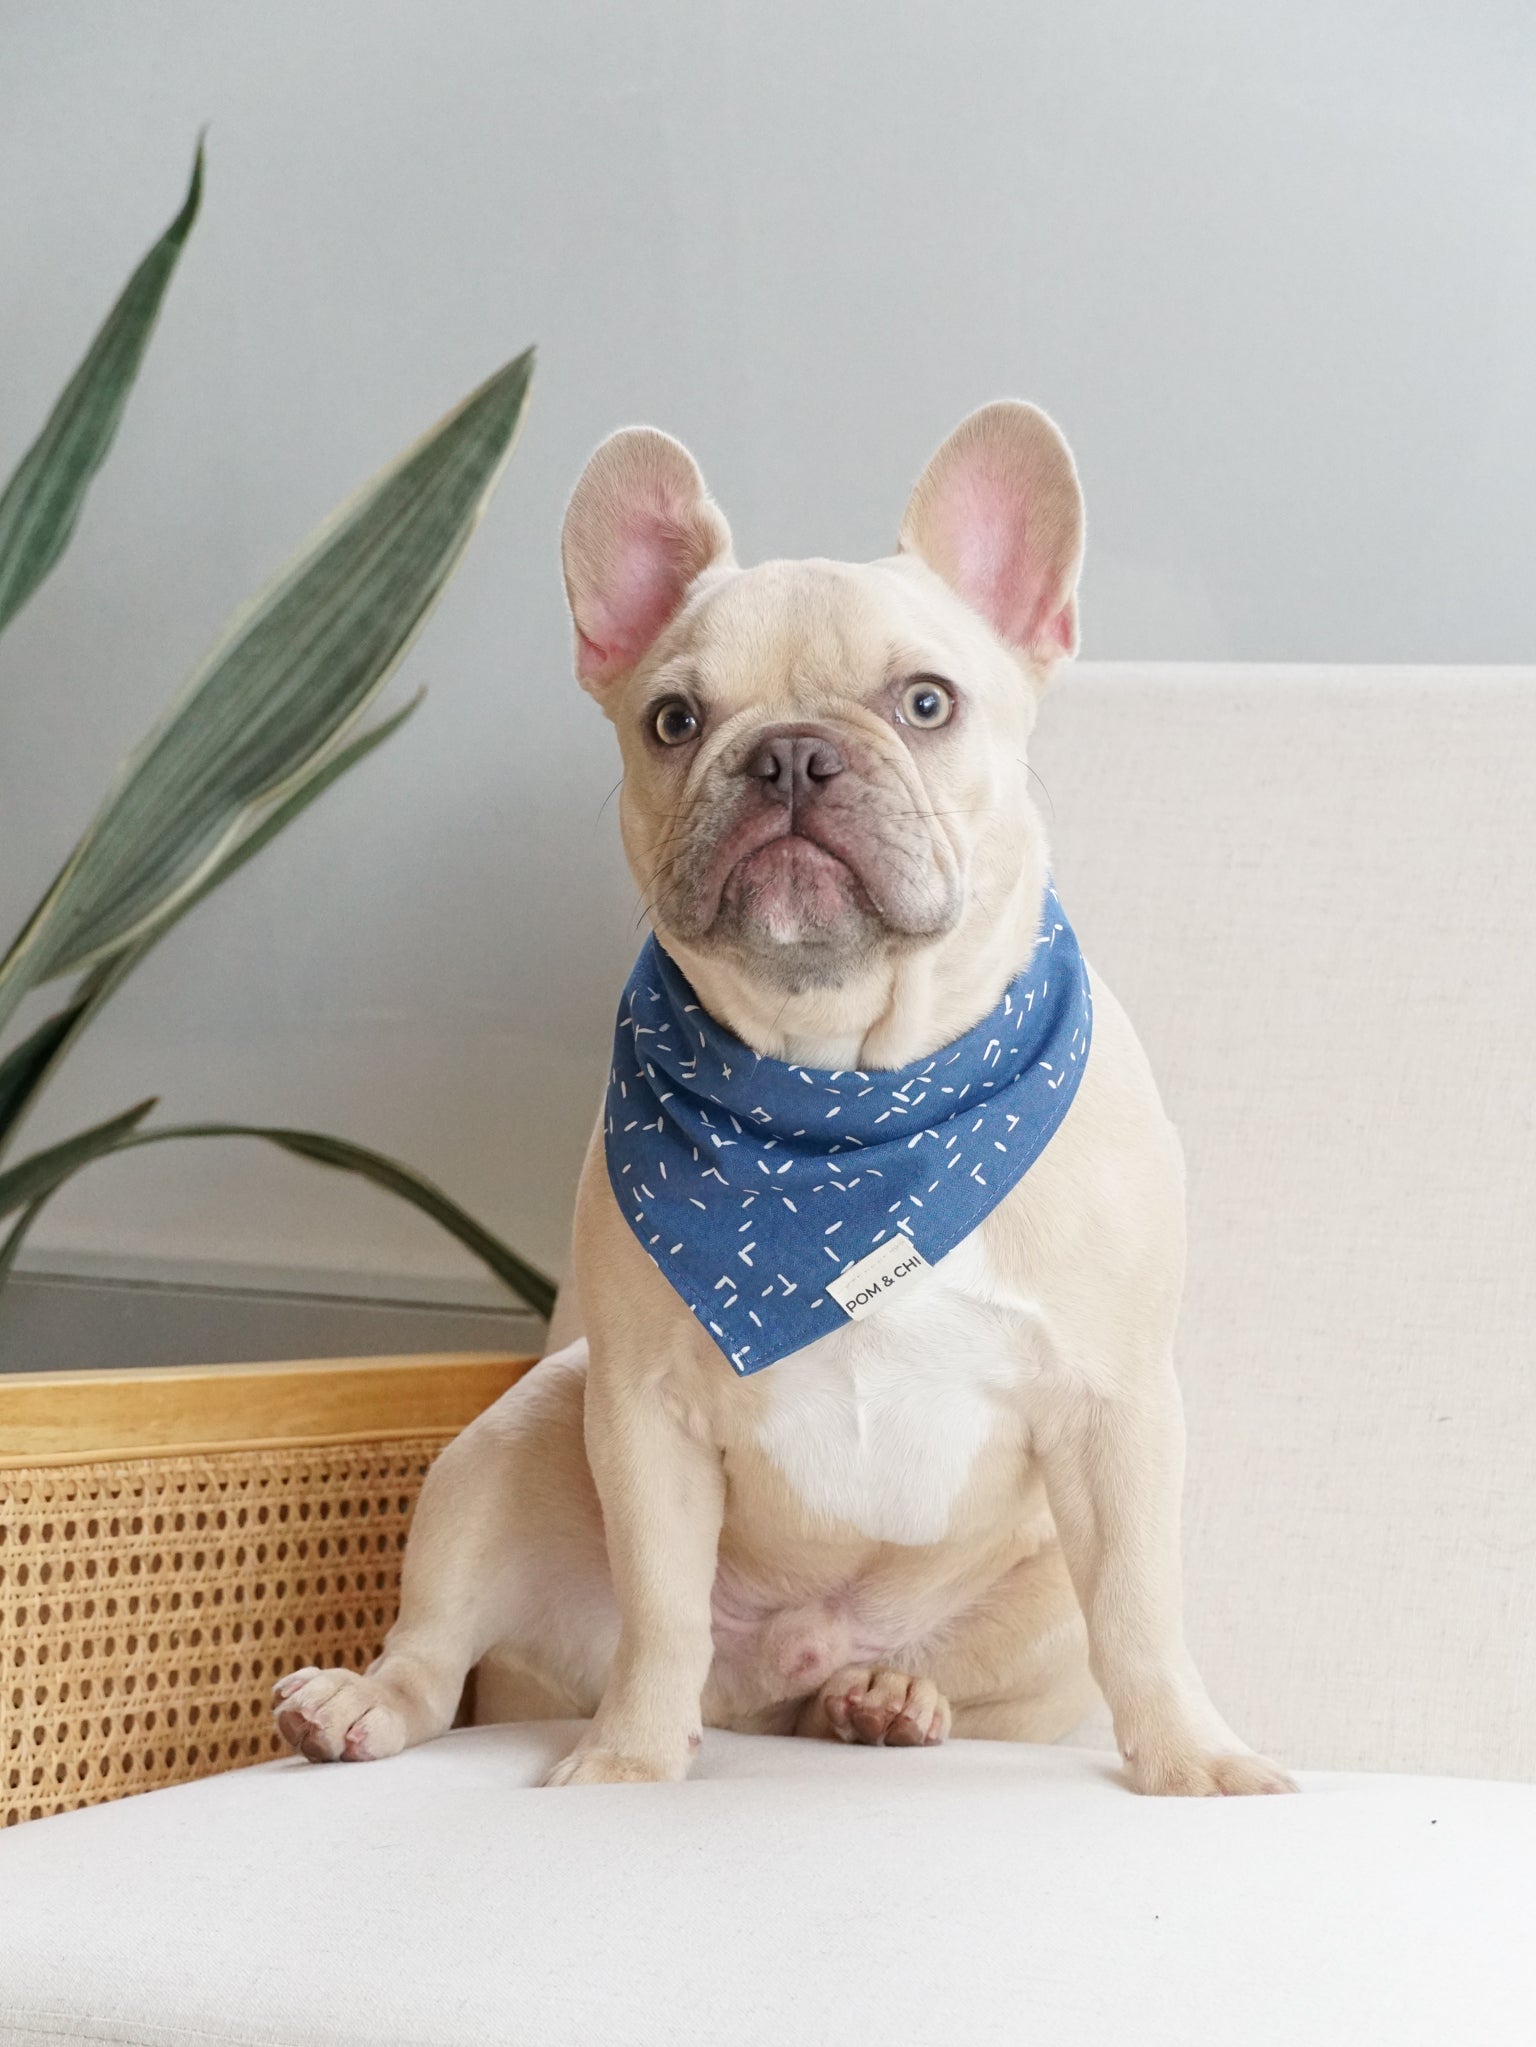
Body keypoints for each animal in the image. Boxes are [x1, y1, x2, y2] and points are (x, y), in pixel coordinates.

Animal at [274, 399, 1302, 1793]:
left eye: (926, 702)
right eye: (672, 719)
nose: (792, 755)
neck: (844, 1102)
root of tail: (782, 1677)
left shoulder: (1116, 1409)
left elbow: (1142, 1608)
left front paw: (1193, 1760)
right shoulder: (642, 1411)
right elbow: (661, 1610)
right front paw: (628, 1764)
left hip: (1036, 1608)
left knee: (1003, 1670)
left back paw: (889, 1698)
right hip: (519, 1431)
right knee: (437, 1653)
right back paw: (361, 1706)